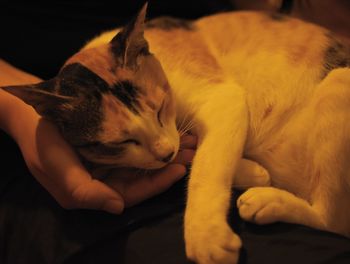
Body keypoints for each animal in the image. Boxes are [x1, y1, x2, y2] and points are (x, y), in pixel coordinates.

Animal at [2, 2, 350, 264]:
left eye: (159, 109)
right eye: (121, 142)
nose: (165, 153)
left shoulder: (224, 99)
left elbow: (207, 168)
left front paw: (206, 237)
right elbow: (195, 153)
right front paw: (255, 172)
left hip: (338, 85)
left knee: (334, 221)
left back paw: (269, 202)